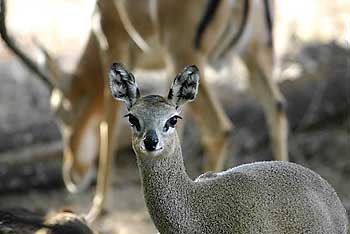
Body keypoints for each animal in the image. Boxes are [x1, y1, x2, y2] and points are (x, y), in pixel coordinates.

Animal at [0, 0, 288, 223]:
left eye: (59, 111)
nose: (72, 176)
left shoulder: (111, 44)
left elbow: (107, 125)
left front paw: (99, 208)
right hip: (255, 53)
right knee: (276, 109)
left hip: (186, 53)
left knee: (219, 128)